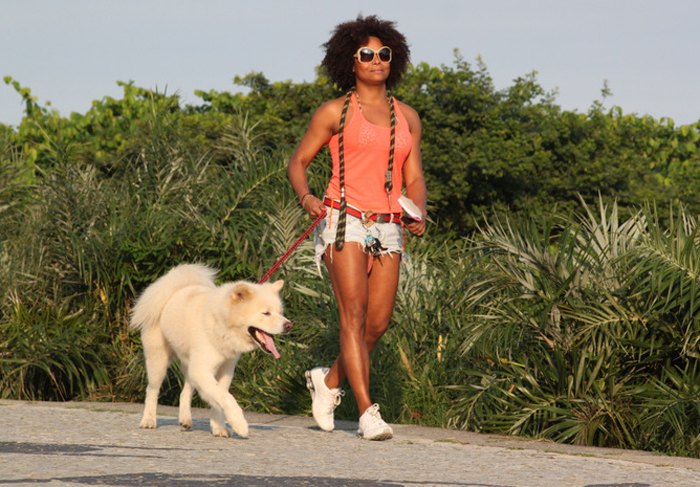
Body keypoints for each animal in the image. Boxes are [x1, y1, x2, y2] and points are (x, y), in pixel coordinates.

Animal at [130, 264, 292, 440]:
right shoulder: (202, 371)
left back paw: (185, 420)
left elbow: (220, 398)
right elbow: (226, 398)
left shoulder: (224, 370)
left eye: (280, 312)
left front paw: (219, 427)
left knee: (185, 392)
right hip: (159, 361)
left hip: (190, 365)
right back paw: (148, 420)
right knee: (152, 391)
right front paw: (239, 424)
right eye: (266, 313)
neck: (221, 324)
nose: (289, 325)